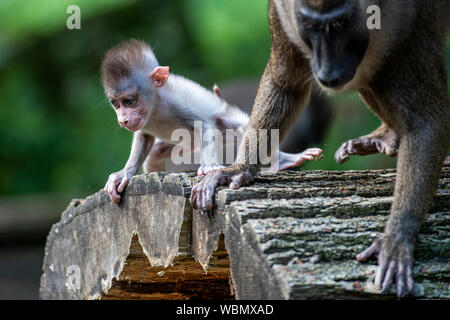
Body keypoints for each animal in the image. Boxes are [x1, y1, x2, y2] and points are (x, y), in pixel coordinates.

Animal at [100, 40, 322, 204]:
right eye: (115, 103)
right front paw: (124, 174)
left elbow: (205, 126)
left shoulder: (176, 105)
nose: (123, 119)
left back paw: (284, 159)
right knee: (155, 154)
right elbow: (143, 137)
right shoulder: (143, 123)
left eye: (129, 101)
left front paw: (209, 166)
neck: (156, 105)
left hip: (227, 122)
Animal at [191, 0, 450, 298]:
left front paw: (398, 236)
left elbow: (427, 120)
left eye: (340, 24)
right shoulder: (282, 16)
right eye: (311, 26)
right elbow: (285, 83)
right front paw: (238, 169)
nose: (327, 71)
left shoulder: (415, 21)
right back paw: (388, 135)